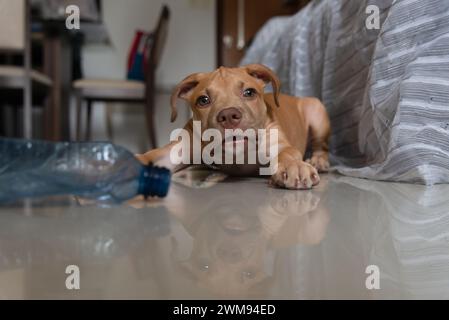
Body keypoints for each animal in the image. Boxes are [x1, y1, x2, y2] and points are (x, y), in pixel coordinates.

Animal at [138, 63, 330, 189]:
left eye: (249, 92)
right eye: (203, 100)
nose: (229, 115)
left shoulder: (279, 143)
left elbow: (286, 153)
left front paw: (293, 166)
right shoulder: (178, 148)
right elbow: (151, 156)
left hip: (316, 110)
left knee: (321, 145)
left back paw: (318, 160)